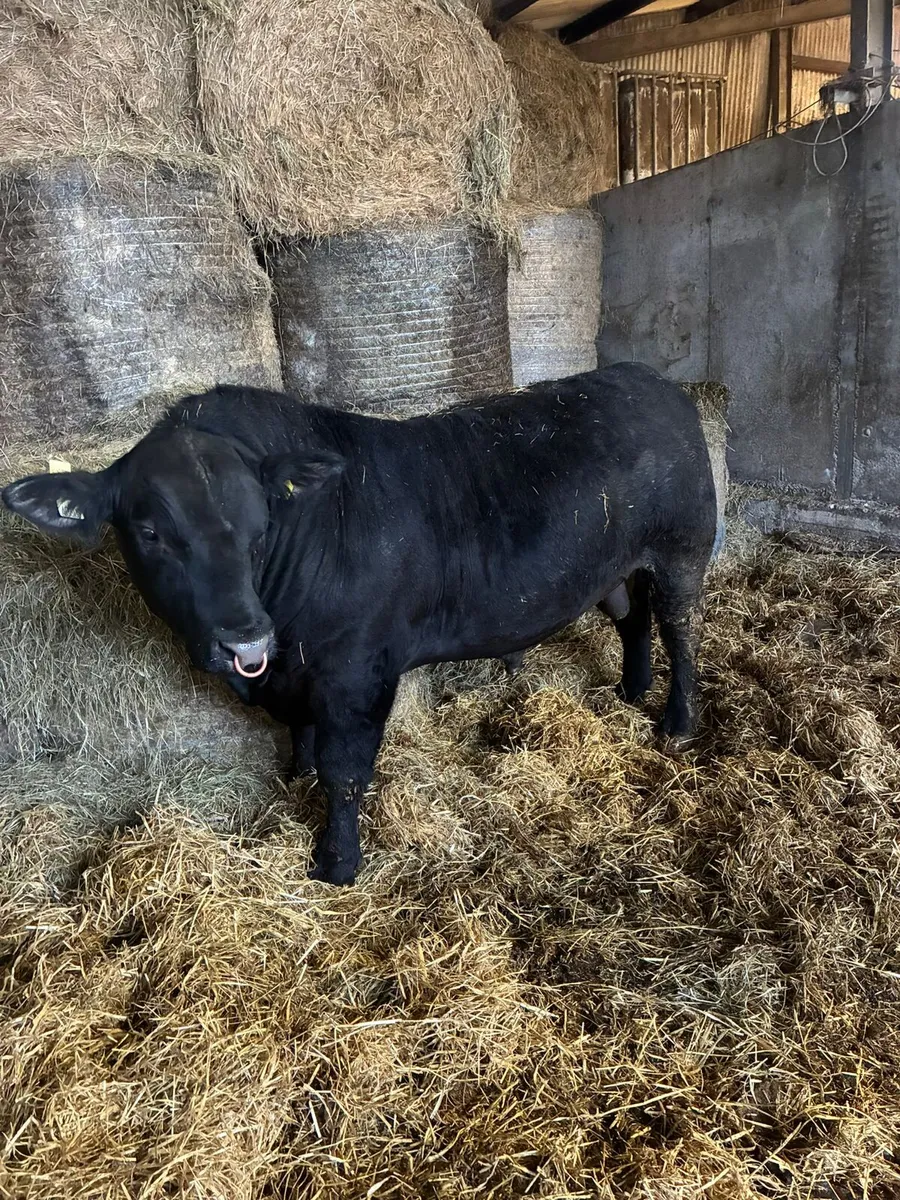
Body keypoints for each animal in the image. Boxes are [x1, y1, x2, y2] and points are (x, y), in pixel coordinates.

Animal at [2, 363, 719, 886]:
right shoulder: (293, 676)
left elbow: (344, 770)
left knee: (682, 632)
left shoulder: (357, 671)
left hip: (683, 551)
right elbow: (302, 741)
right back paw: (630, 689)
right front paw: (292, 784)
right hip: (612, 570)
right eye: (150, 531)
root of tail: (651, 379)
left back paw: (676, 721)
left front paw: (336, 864)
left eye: (261, 523)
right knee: (633, 622)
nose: (244, 637)